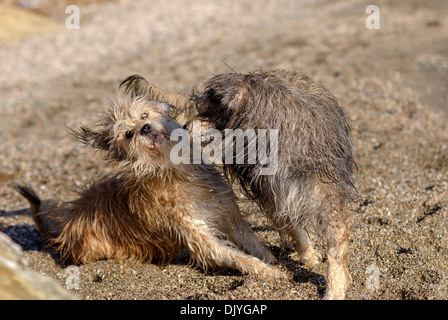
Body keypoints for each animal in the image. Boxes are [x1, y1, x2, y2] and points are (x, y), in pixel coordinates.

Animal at [16, 89, 288, 278]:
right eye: (128, 134)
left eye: (144, 115)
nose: (145, 127)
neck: (173, 169)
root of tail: (64, 228)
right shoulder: (198, 236)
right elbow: (233, 256)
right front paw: (268, 272)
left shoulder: (225, 212)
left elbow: (250, 239)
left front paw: (270, 259)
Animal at [120, 68, 356, 300]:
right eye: (201, 108)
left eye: (211, 113)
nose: (184, 126)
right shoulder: (269, 190)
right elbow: (292, 225)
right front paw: (308, 255)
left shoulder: (327, 194)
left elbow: (336, 247)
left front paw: (334, 288)